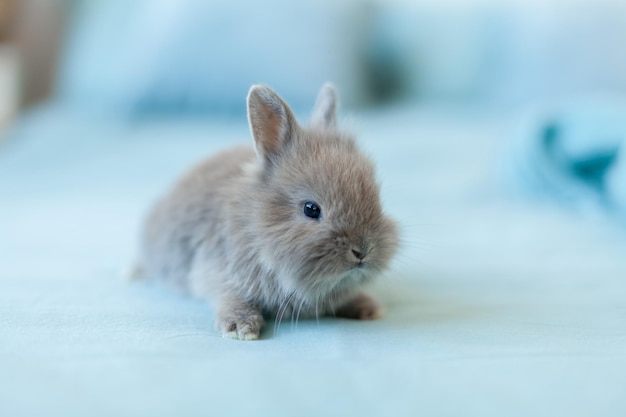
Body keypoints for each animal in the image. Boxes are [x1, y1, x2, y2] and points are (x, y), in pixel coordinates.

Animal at [139, 83, 398, 340]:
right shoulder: (218, 274)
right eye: (311, 209)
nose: (362, 251)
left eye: (376, 198)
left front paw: (369, 307)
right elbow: (231, 298)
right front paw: (240, 328)